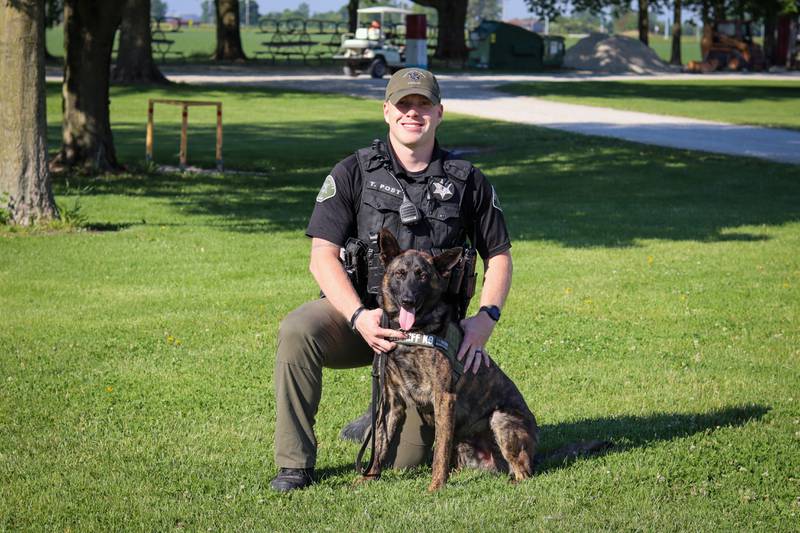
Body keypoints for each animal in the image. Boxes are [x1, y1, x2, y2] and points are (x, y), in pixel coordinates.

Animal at [360, 229, 536, 490]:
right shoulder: (392, 402)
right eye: (400, 274)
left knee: (524, 472)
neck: (413, 334)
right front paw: (366, 479)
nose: (408, 300)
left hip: (501, 419)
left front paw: (435, 488)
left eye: (423, 276)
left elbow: (439, 452)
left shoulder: (444, 397)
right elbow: (380, 444)